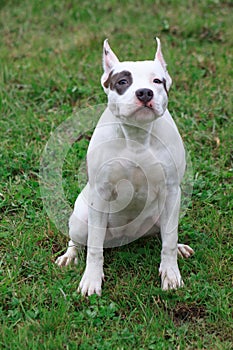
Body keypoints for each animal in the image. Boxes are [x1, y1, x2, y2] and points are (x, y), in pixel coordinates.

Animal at [55, 38, 194, 296]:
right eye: (122, 82)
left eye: (157, 81)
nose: (145, 92)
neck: (137, 135)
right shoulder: (101, 193)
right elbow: (94, 248)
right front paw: (91, 280)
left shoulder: (172, 191)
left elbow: (169, 239)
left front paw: (170, 274)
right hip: (80, 221)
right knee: (78, 241)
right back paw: (70, 256)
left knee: (165, 233)